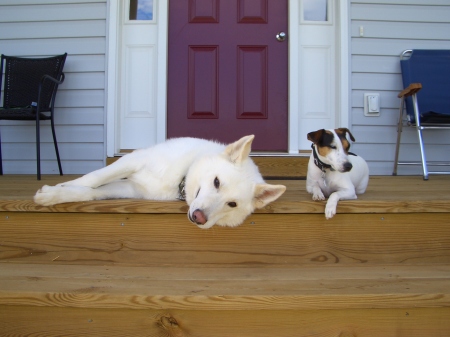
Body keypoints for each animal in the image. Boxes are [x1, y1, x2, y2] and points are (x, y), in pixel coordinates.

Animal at [34, 135, 284, 228]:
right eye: (216, 182)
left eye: (232, 204)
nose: (199, 218)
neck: (180, 178)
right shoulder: (132, 160)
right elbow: (94, 178)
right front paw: (57, 189)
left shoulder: (133, 189)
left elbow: (92, 192)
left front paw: (59, 192)